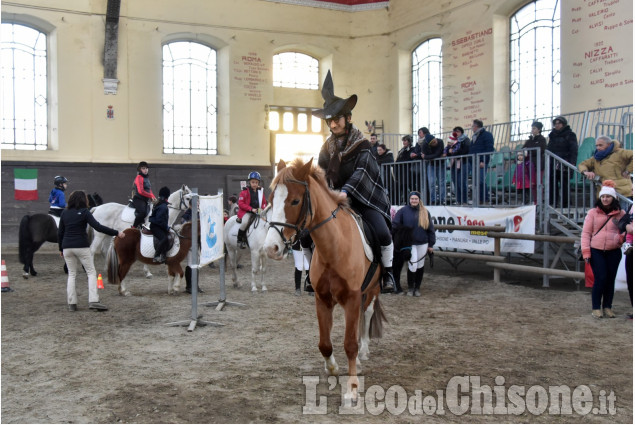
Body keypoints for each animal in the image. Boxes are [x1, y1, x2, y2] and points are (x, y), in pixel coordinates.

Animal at [262, 157, 388, 402]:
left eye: (295, 201)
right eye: (271, 200)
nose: (271, 249)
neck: (334, 248)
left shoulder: (352, 298)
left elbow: (349, 344)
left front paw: (352, 388)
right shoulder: (322, 299)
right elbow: (325, 343)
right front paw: (332, 368)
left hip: (373, 288)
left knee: (367, 314)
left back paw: (364, 351)